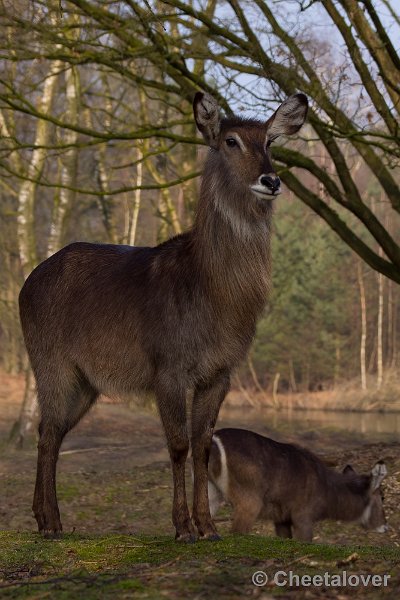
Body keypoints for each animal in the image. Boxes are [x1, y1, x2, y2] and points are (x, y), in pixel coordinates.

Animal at [19, 91, 310, 540]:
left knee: (52, 433)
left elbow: (203, 446)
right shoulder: (168, 367)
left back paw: (49, 520)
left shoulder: (219, 372)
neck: (217, 300)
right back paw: (50, 524)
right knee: (47, 432)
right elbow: (177, 445)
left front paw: (208, 526)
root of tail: (26, 283)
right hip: (50, 362)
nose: (271, 180)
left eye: (270, 141)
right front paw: (183, 527)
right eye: (230, 141)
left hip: (86, 382)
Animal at [209, 428, 388, 540]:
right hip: (249, 501)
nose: (385, 527)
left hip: (212, 493)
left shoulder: (281, 519)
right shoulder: (303, 516)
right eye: (382, 497)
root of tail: (215, 439)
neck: (327, 491)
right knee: (236, 531)